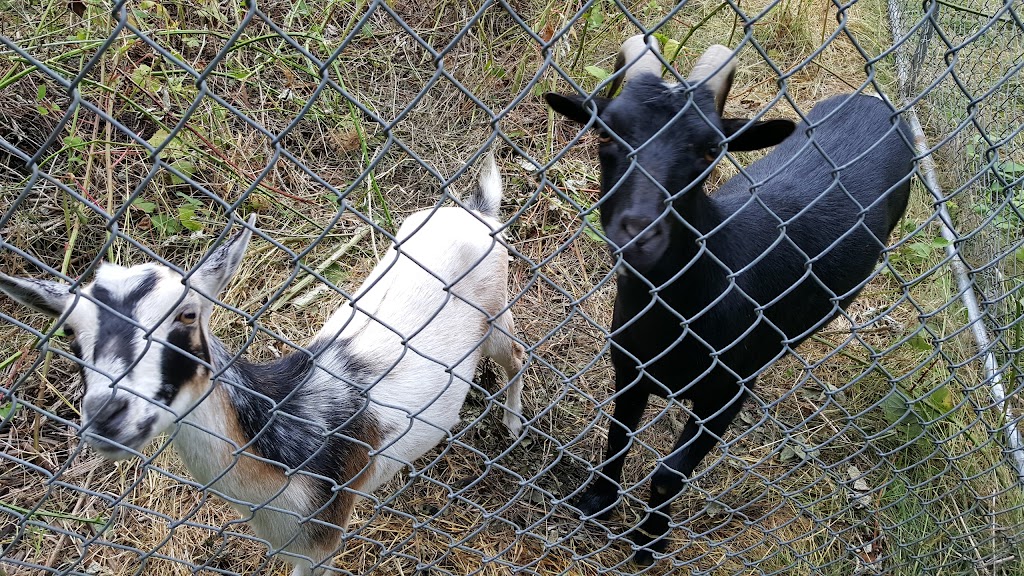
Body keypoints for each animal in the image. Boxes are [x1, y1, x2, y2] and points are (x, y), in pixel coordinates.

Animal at [0, 152, 524, 573]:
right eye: (70, 332)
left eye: (187, 314)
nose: (109, 417)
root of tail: (478, 211)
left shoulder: (324, 539)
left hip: (498, 312)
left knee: (516, 358)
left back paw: (513, 424)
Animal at [548, 35, 917, 561]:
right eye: (604, 135)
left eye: (709, 151)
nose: (638, 234)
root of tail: (873, 101)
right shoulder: (630, 367)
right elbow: (618, 434)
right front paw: (597, 500)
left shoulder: (727, 391)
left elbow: (669, 474)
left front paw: (650, 542)